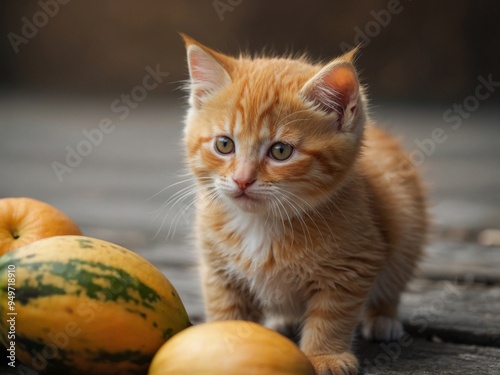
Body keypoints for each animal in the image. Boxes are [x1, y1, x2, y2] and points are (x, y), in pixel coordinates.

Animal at [180, 33, 426, 374]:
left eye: (281, 151)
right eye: (224, 145)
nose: (242, 180)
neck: (261, 223)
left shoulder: (354, 263)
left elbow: (331, 316)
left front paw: (324, 356)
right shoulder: (217, 269)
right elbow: (226, 310)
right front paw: (221, 347)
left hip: (406, 223)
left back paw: (383, 319)